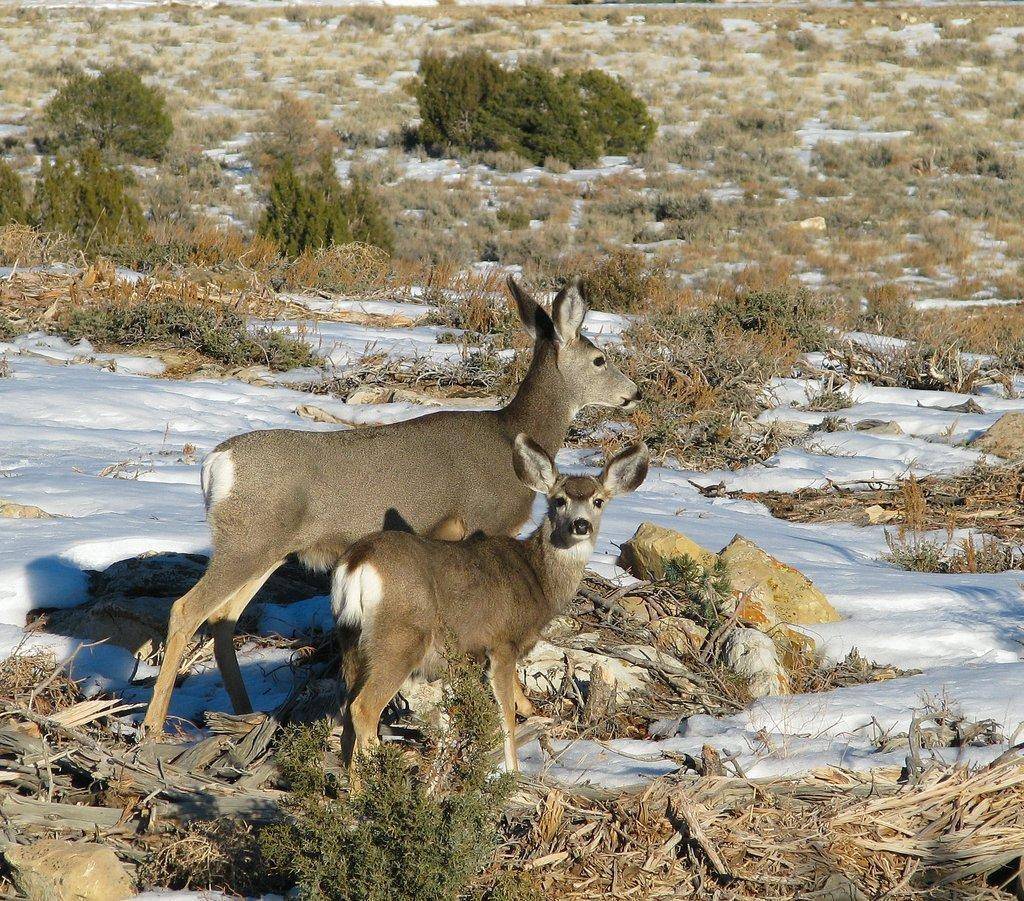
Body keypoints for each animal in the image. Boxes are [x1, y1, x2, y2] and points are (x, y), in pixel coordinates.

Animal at [142, 278, 638, 737]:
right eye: (600, 359)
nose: (632, 393)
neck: (509, 436)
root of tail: (214, 465)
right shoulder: (482, 522)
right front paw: (522, 706)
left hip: (266, 549)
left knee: (223, 619)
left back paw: (242, 714)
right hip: (246, 542)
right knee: (186, 610)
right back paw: (153, 725)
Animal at [335, 432, 647, 769]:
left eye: (598, 501)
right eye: (559, 500)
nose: (580, 525)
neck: (537, 580)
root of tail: (357, 560)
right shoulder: (502, 643)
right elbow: (506, 714)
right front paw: (513, 772)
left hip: (351, 637)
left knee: (347, 715)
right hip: (401, 637)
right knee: (363, 709)